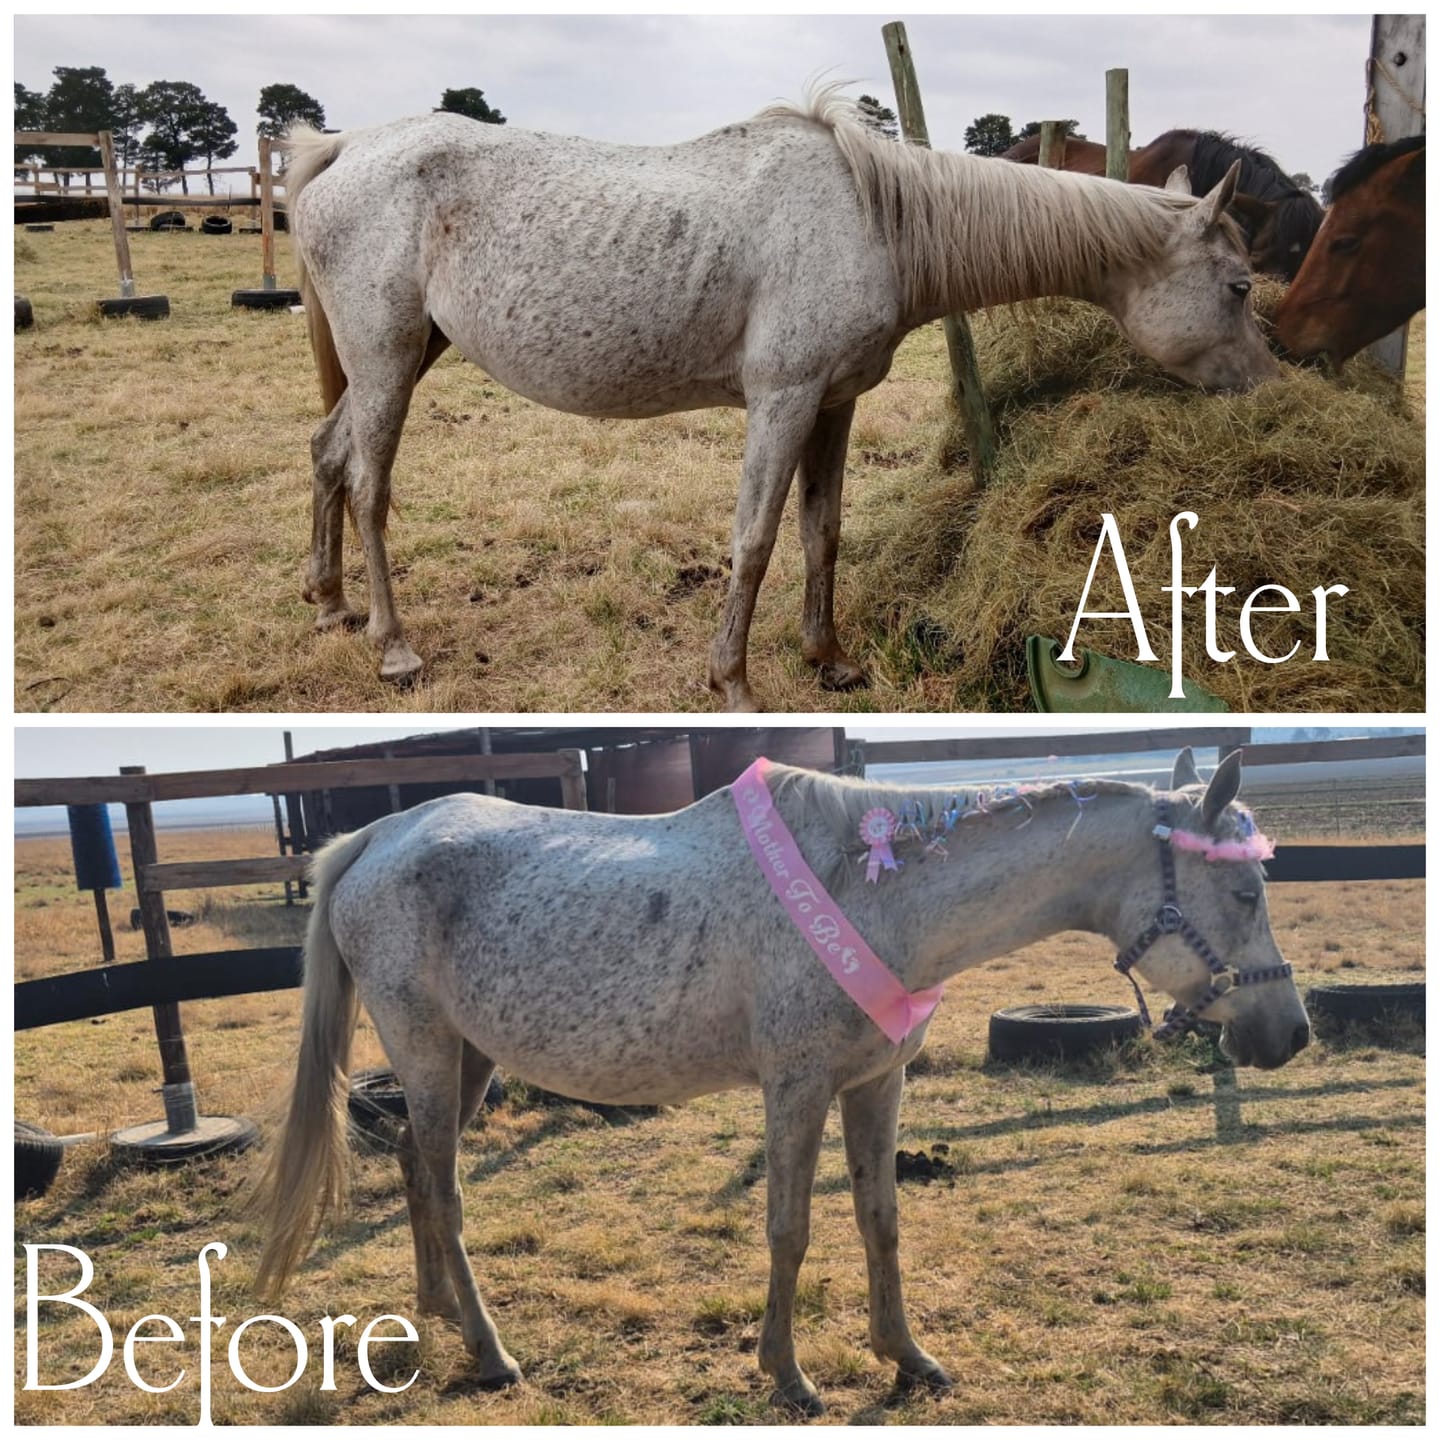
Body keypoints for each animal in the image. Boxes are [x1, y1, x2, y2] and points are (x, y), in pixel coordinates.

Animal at [254, 746, 1309, 1416]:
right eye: (1245, 888)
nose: (1291, 1033)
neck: (872, 892)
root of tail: (377, 839)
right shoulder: (795, 1087)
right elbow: (790, 1229)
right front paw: (789, 1377)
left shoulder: (876, 1084)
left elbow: (881, 1218)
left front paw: (906, 1357)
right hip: (430, 1050)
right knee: (443, 1185)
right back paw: (489, 1352)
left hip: (468, 1058)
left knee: (412, 1163)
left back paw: (434, 1311)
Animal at [283, 89, 1274, 710]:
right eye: (1239, 287)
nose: (1271, 386)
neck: (875, 221)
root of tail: (346, 149)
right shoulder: (783, 402)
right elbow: (754, 541)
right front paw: (733, 681)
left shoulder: (833, 405)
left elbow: (820, 531)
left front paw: (828, 661)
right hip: (387, 359)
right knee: (369, 485)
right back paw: (392, 645)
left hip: (401, 358)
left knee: (327, 453)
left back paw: (329, 604)